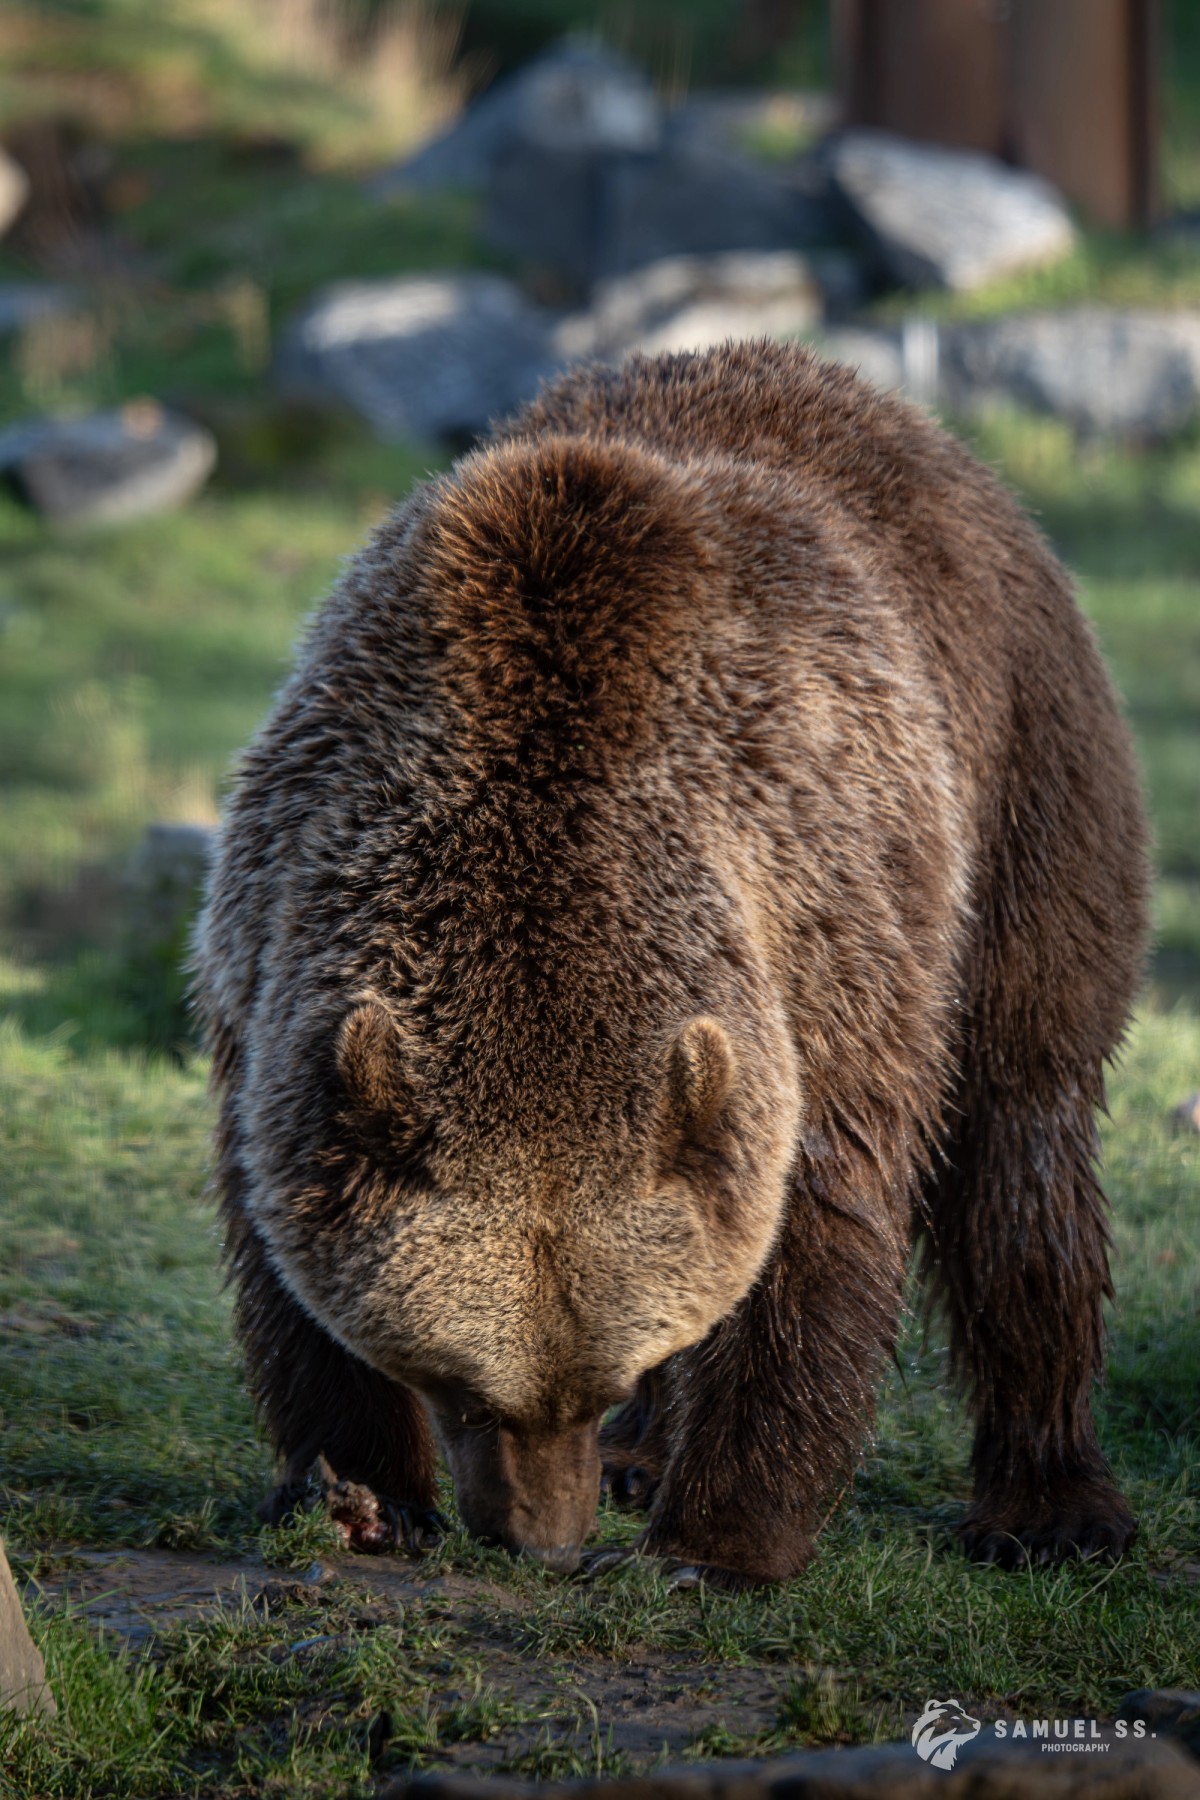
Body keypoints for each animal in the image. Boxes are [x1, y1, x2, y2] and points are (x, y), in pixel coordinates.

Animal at [193, 340, 1149, 1589]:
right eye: (461, 1386)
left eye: (589, 1385)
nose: (539, 1540)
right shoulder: (280, 930)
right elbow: (281, 1229)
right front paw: (360, 1492)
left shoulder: (815, 917)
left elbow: (816, 1211)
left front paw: (715, 1541)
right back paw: (645, 1461)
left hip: (1027, 779)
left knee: (1019, 1133)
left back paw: (1050, 1505)